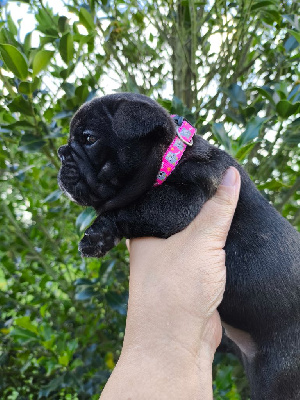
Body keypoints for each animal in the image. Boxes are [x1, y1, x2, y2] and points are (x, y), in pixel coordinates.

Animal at [58, 92, 300, 398]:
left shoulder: (180, 199)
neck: (172, 155)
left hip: (280, 373)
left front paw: (96, 233)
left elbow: (130, 209)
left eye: (89, 138)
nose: (61, 152)